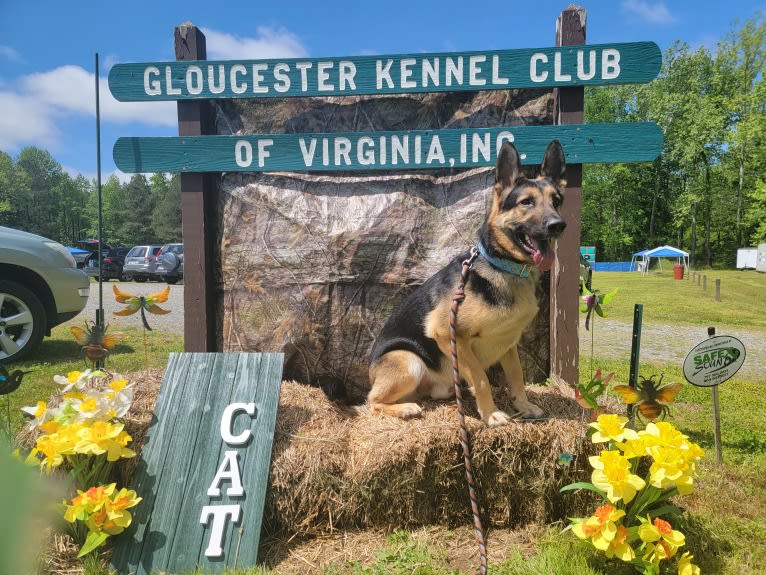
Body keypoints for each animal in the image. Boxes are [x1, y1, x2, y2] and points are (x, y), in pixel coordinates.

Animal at [368, 140, 568, 428]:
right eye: (526, 202)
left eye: (557, 200)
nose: (558, 225)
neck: (504, 265)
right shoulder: (448, 333)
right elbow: (481, 379)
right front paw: (491, 414)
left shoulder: (509, 343)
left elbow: (516, 376)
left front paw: (523, 405)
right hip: (409, 360)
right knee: (370, 401)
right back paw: (405, 408)